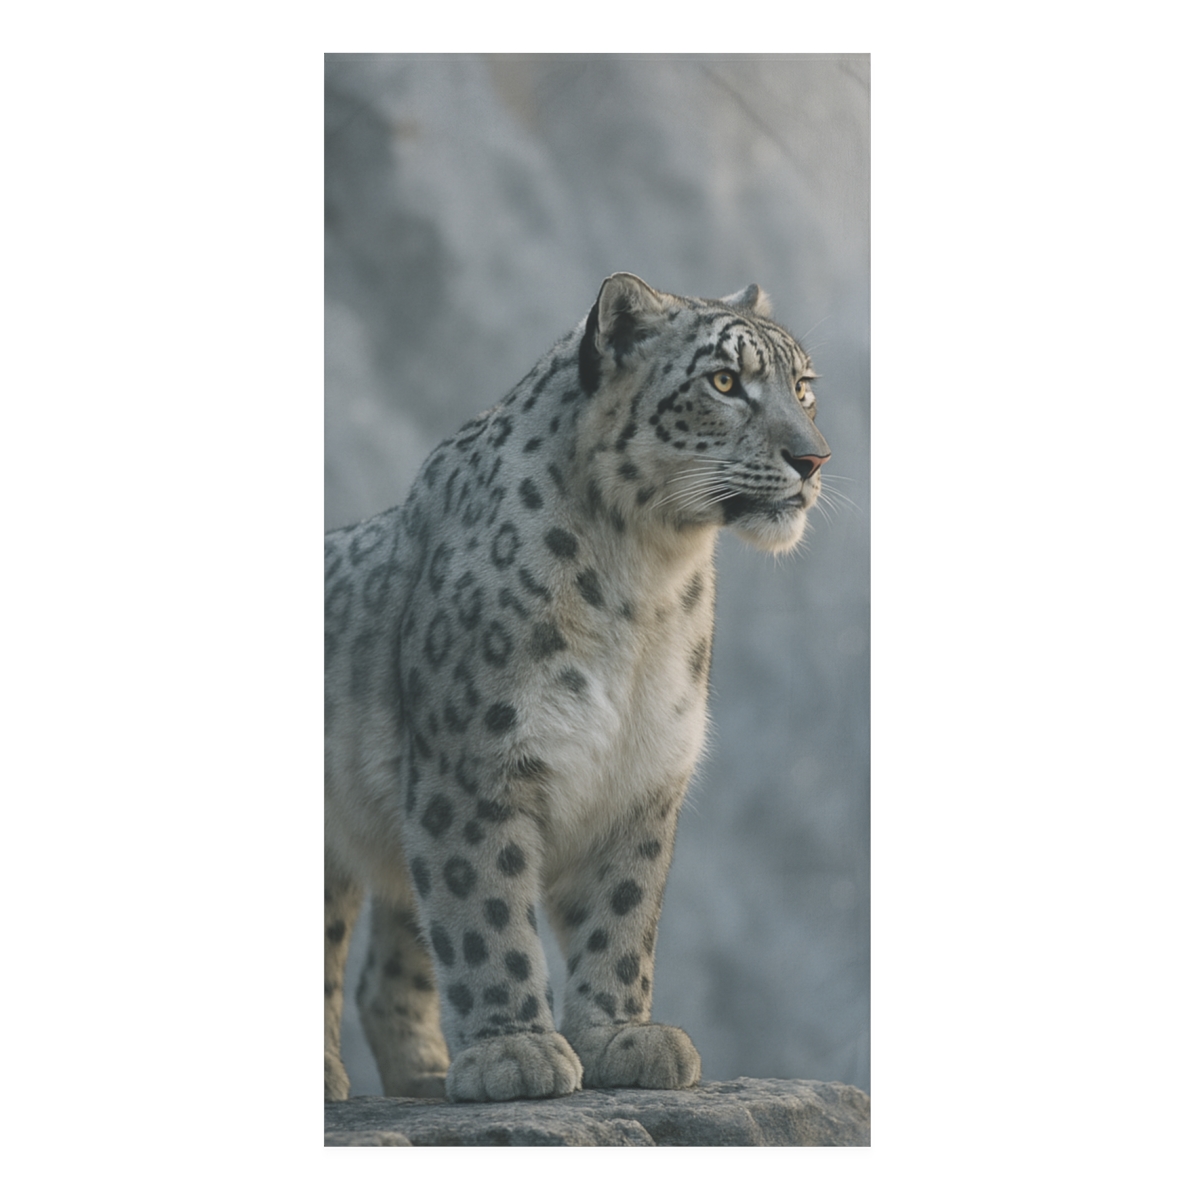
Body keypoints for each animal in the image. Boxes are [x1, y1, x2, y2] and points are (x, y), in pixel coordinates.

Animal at [324, 272, 831, 1103]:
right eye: (725, 382)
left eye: (803, 387)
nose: (813, 458)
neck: (644, 582)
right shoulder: (472, 768)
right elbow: (483, 912)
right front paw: (516, 1050)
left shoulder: (643, 774)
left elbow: (622, 913)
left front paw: (621, 1038)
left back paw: (425, 1077)